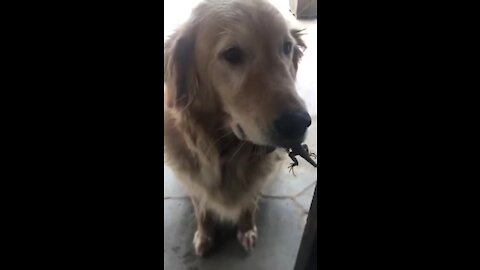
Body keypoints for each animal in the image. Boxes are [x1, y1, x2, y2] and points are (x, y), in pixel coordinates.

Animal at [164, 0, 312, 256]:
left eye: (286, 48)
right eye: (232, 54)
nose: (298, 123)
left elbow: (248, 203)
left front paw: (246, 229)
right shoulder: (193, 179)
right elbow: (202, 208)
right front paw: (205, 235)